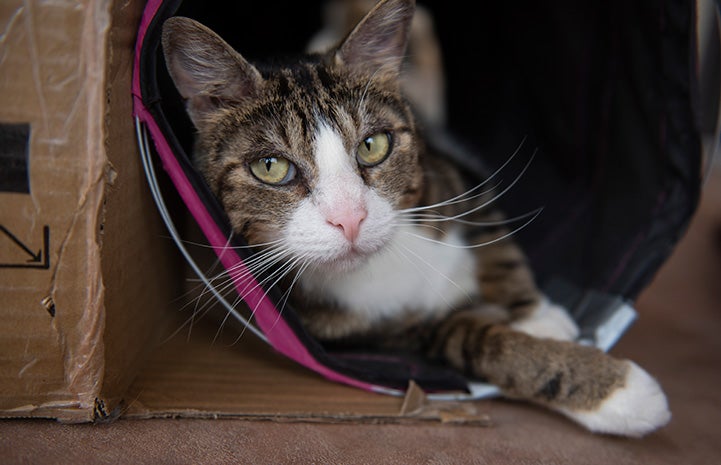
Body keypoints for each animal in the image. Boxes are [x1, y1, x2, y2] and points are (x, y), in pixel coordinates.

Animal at [162, 0, 668, 436]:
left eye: (374, 145)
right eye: (270, 167)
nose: (350, 219)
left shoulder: (458, 174)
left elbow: (499, 247)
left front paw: (536, 315)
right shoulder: (386, 335)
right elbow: (474, 340)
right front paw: (618, 392)